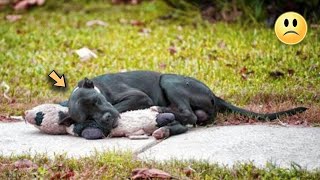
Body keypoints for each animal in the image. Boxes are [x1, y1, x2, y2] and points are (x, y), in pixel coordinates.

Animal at [60, 70, 308, 136]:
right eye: (87, 115)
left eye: (98, 101)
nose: (106, 119)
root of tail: (214, 95)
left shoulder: (138, 97)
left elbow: (121, 107)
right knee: (191, 117)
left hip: (169, 80)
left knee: (188, 115)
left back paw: (160, 111)